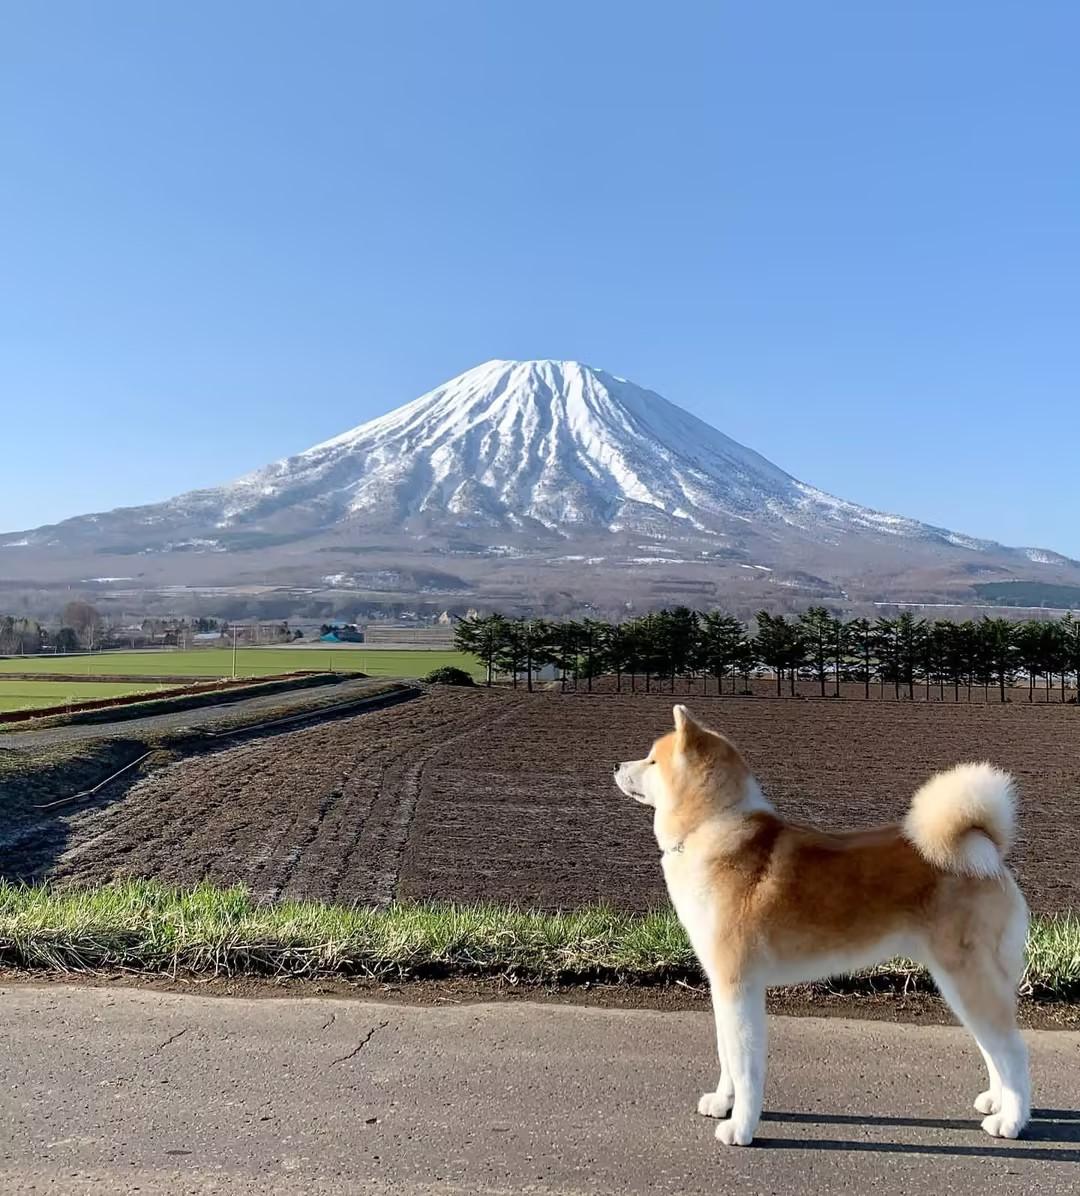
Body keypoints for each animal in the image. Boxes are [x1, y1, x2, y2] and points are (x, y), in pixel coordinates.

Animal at [617, 703, 1028, 1143]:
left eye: (651, 760)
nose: (616, 765)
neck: (714, 829)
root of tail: (988, 852)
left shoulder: (739, 986)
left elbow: (745, 1069)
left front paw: (741, 1126)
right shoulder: (722, 987)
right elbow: (726, 1055)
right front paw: (722, 1102)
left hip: (966, 977)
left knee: (1011, 1050)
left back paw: (1011, 1120)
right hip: (959, 981)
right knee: (993, 1048)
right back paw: (995, 1101)